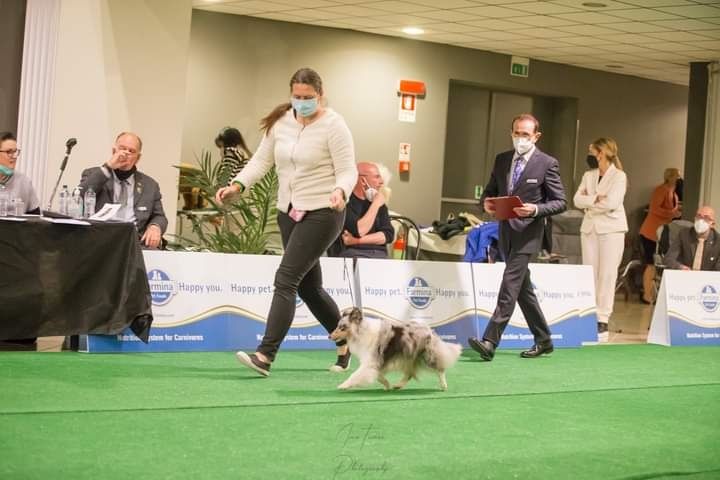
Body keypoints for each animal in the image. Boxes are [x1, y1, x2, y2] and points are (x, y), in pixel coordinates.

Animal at [330, 308, 464, 390]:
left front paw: (343, 385)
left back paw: (444, 385)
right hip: (408, 358)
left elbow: (355, 375)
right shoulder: (376, 363)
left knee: (440, 370)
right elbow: (378, 375)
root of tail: (429, 330)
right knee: (409, 374)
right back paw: (398, 385)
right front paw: (387, 384)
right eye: (338, 326)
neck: (362, 331)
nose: (329, 336)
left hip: (426, 356)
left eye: (342, 327)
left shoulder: (371, 362)